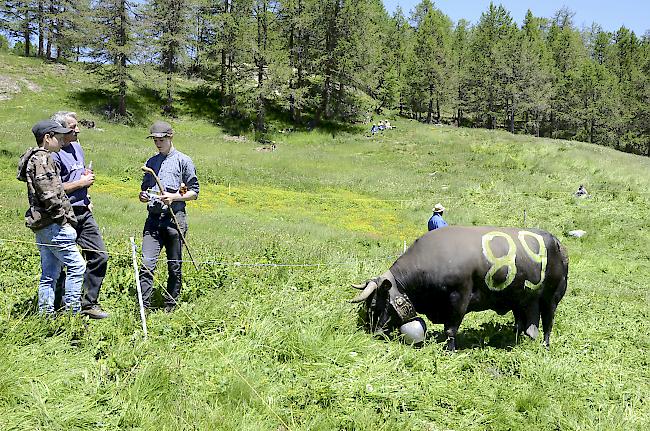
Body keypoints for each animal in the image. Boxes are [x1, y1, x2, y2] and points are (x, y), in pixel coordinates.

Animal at [350, 226, 568, 352]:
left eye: (374, 304)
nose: (371, 333)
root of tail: (558, 243)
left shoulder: (458, 299)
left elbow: (450, 329)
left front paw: (450, 350)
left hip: (551, 298)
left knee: (548, 323)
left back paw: (545, 346)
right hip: (522, 299)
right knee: (525, 323)